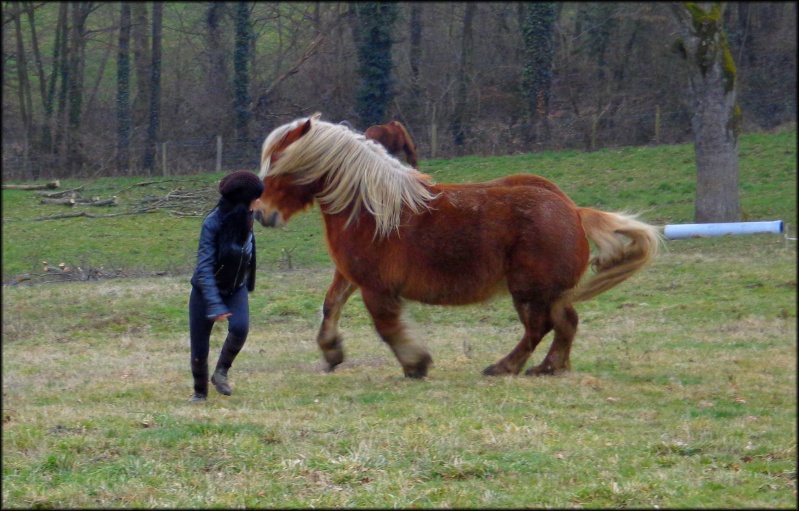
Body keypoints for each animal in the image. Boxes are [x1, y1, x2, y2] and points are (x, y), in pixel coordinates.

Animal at [258, 114, 664, 382]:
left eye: (279, 166)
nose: (261, 214)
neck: (371, 207)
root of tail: (575, 211)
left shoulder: (376, 286)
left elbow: (386, 326)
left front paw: (415, 363)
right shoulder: (350, 273)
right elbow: (331, 306)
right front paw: (331, 351)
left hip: (529, 290)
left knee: (540, 327)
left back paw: (506, 367)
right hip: (548, 291)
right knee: (565, 324)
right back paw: (549, 367)